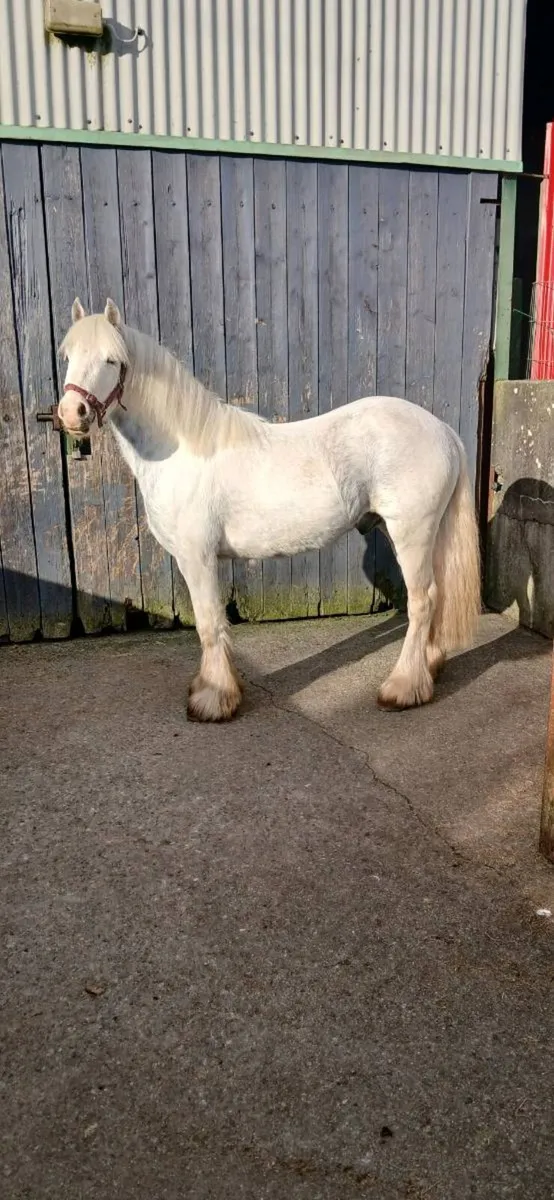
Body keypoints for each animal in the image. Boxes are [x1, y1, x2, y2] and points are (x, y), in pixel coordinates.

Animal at [58, 299, 481, 722]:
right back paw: (429, 666)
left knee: (423, 600)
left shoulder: (197, 556)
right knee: (434, 595)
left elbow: (209, 624)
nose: (72, 413)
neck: (181, 449)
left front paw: (213, 698)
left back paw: (403, 688)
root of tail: (442, 431)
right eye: (68, 355)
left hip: (411, 532)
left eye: (111, 360)